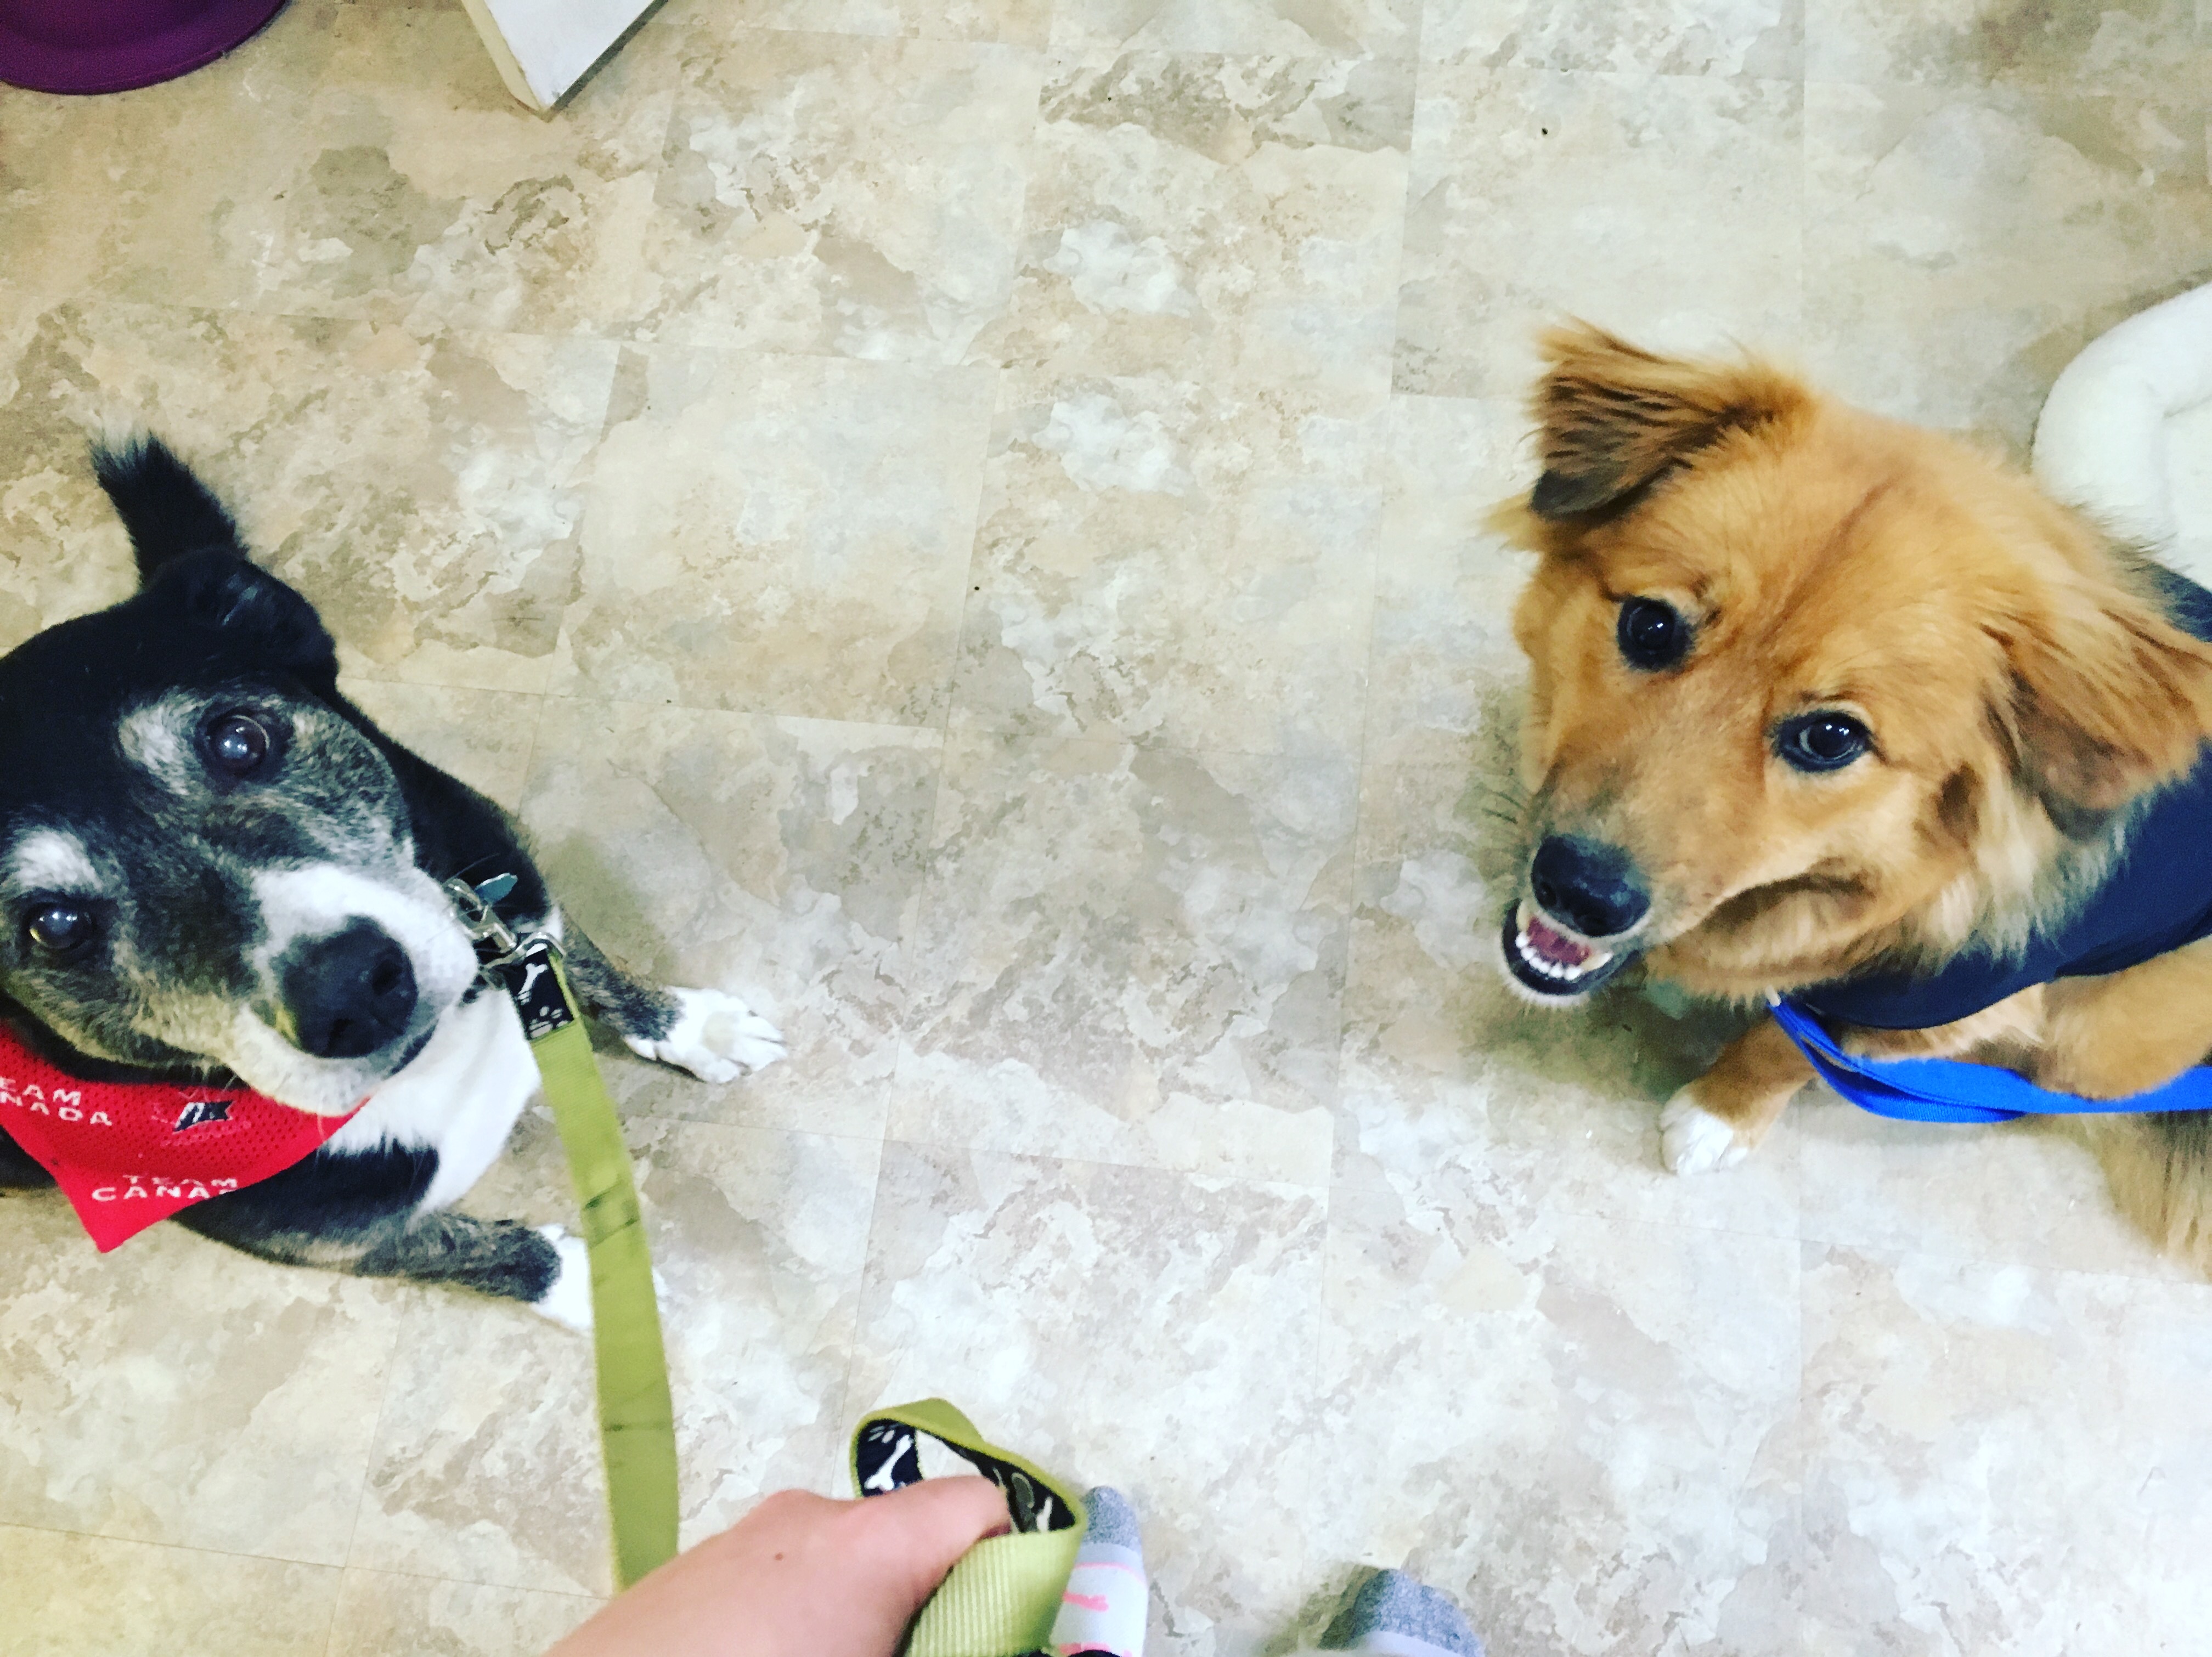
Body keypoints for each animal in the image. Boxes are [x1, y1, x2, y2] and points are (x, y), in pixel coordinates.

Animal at [0, 436, 784, 1323]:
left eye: (239, 739)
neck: (433, 1052)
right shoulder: (335, 1243)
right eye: (54, 926)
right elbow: (481, 1253)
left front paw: (693, 1028)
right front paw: (597, 1283)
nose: (349, 992)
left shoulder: (504, 888)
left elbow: (586, 964)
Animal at [1493, 323, 2212, 1273]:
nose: (1580, 892)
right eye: (1650, 625)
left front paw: (1721, 1113)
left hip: (2105, 1042)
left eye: (1830, 738)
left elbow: (1788, 1048)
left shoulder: (1928, 1004)